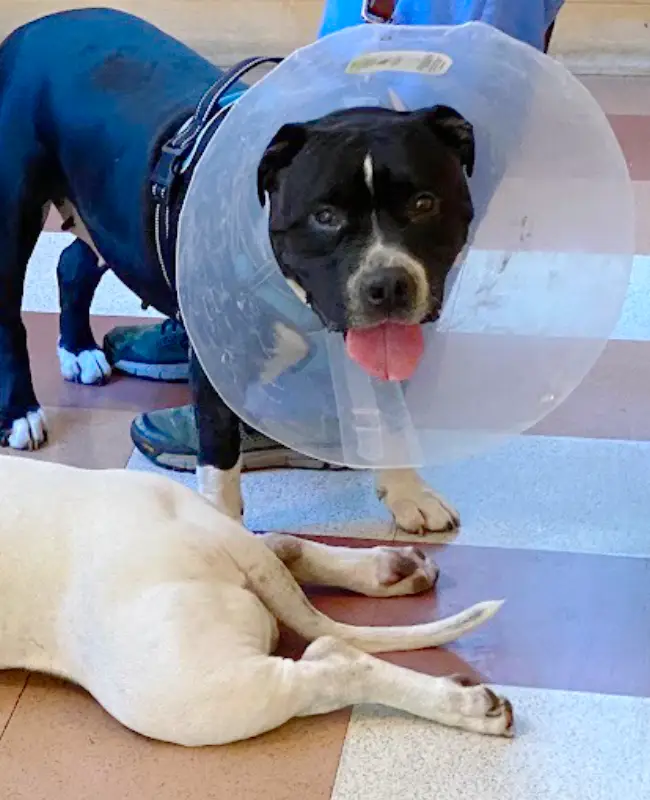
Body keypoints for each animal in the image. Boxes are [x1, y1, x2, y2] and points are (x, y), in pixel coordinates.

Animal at [0, 460, 512, 748]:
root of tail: (213, 537)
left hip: (183, 688)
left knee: (330, 667)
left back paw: (468, 707)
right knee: (283, 547)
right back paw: (391, 568)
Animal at [1, 9, 476, 536]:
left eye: (424, 203)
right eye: (324, 216)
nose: (388, 282)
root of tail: (37, 25)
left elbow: (391, 414)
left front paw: (409, 492)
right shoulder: (215, 364)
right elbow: (220, 457)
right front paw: (224, 526)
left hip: (104, 211)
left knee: (73, 264)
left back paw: (79, 349)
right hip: (14, 215)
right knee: (11, 320)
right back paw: (22, 411)